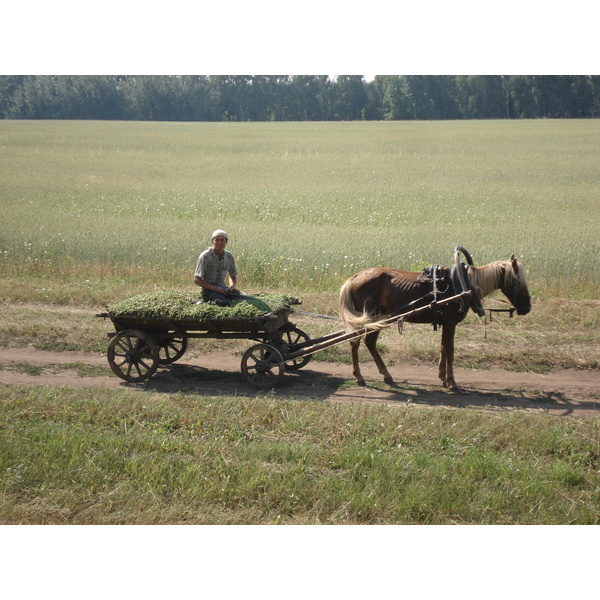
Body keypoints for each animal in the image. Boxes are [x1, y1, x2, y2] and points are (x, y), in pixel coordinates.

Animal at [340, 251, 532, 392]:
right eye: (518, 281)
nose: (527, 307)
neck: (462, 285)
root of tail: (355, 276)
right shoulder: (451, 323)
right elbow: (450, 350)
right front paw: (452, 383)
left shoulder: (446, 324)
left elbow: (443, 348)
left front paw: (443, 378)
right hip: (369, 317)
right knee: (356, 342)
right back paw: (360, 376)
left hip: (378, 317)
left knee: (368, 342)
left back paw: (385, 375)